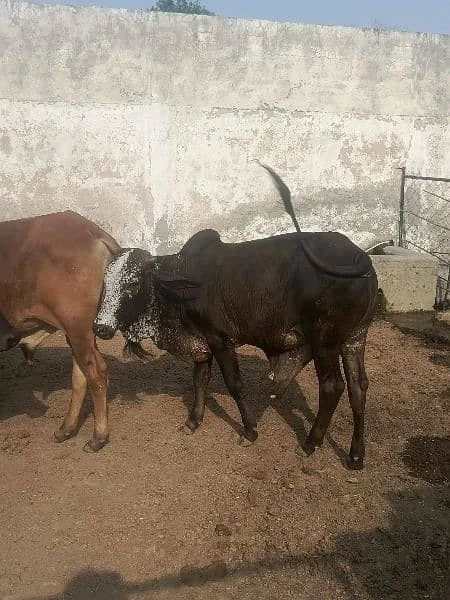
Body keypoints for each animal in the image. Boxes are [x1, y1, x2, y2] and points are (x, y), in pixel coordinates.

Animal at [0, 211, 120, 450]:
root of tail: (92, 231)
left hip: (76, 326)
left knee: (96, 373)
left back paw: (98, 436)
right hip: (78, 332)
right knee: (80, 376)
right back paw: (67, 428)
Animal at [93, 225, 378, 468]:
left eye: (132, 283)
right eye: (105, 284)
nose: (100, 327)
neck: (179, 286)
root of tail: (359, 254)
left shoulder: (221, 340)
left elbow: (235, 386)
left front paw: (250, 431)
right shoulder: (202, 345)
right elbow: (199, 380)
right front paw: (193, 421)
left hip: (324, 341)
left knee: (333, 387)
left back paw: (310, 443)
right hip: (355, 338)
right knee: (358, 387)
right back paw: (355, 455)